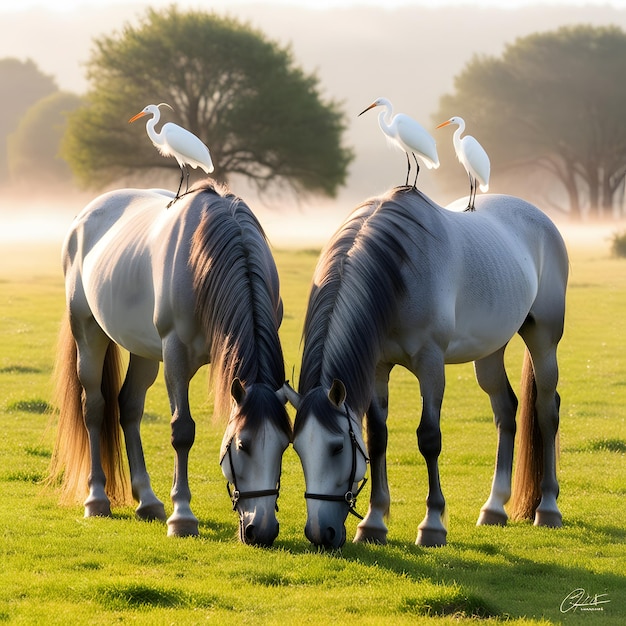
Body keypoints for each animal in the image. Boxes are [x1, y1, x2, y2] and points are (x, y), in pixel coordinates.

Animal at [48, 182, 290, 544]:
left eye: (285, 445)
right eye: (241, 445)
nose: (260, 530)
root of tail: (84, 216)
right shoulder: (175, 353)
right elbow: (182, 431)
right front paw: (183, 516)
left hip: (143, 350)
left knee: (129, 408)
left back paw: (147, 501)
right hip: (88, 331)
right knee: (94, 407)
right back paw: (97, 498)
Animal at [286, 186, 568, 544]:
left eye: (337, 448)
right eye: (297, 449)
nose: (321, 532)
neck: (397, 273)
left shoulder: (431, 364)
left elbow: (429, 438)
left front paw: (432, 524)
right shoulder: (378, 368)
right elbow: (377, 436)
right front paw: (373, 522)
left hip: (544, 340)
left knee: (547, 411)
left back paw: (548, 508)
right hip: (490, 350)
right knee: (506, 411)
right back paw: (494, 508)